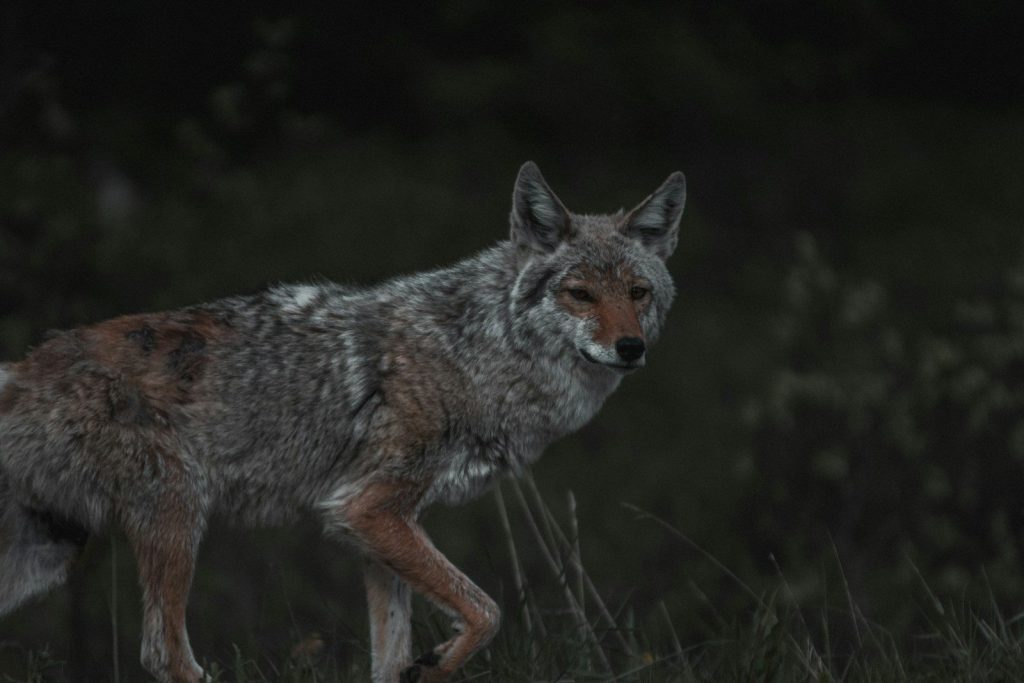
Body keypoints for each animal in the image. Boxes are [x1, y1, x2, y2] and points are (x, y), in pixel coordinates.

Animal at [0, 161, 685, 682]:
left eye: (637, 293)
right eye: (580, 294)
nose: (630, 348)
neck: (478, 355)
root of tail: (22, 369)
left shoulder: (379, 531)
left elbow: (395, 654)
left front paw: (421, 666)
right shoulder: (367, 509)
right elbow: (487, 611)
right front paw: (437, 662)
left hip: (47, 556)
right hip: (175, 523)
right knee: (164, 656)